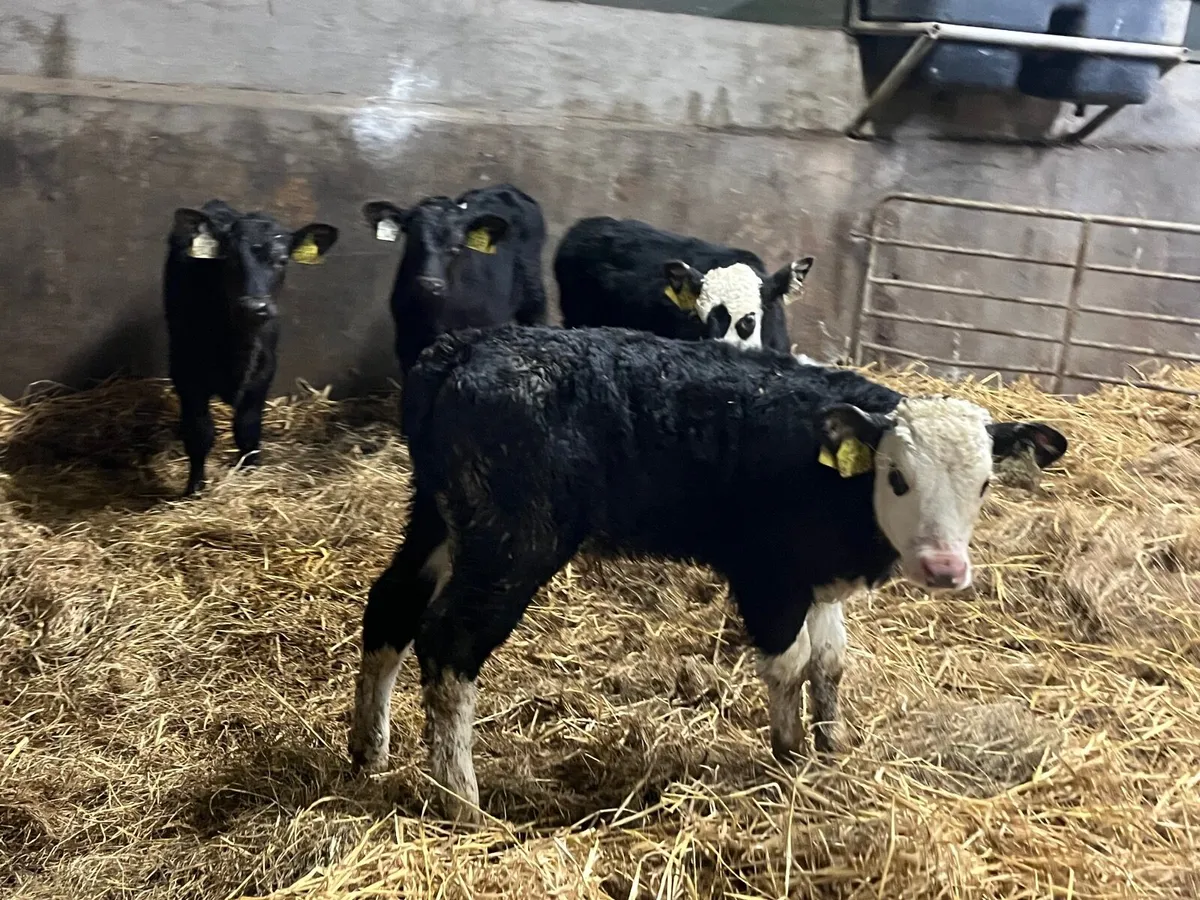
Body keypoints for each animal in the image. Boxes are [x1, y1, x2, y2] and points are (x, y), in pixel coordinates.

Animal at [164, 199, 339, 496]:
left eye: (282, 260)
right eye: (230, 258)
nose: (254, 307)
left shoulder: (265, 369)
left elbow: (248, 429)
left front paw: (250, 474)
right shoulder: (187, 372)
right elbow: (199, 433)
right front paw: (195, 489)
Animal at [347, 325, 1068, 823]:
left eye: (984, 484)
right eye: (897, 478)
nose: (945, 567)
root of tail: (463, 349)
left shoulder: (817, 576)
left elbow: (831, 661)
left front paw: (831, 744)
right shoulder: (768, 576)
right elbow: (790, 664)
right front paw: (790, 755)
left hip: (439, 519)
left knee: (390, 608)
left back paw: (368, 753)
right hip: (513, 542)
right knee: (449, 645)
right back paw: (462, 801)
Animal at [362, 184, 548, 378]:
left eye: (457, 246)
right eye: (413, 238)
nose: (430, 283)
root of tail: (506, 188)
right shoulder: (406, 340)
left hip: (533, 292)